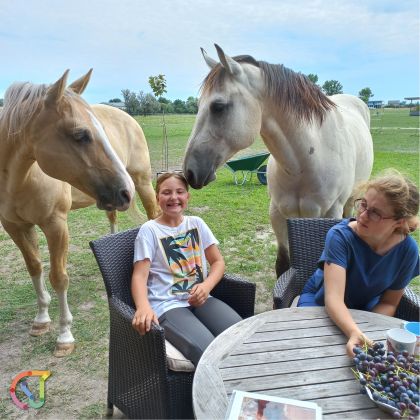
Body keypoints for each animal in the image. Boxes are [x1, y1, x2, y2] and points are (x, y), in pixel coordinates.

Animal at [0, 70, 154, 356]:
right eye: (80, 134)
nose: (125, 190)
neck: (19, 178)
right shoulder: (15, 226)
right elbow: (34, 267)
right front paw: (41, 319)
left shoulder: (55, 224)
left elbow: (59, 277)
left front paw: (64, 335)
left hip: (143, 182)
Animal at [184, 45, 374, 276]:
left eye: (218, 106)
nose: (190, 171)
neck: (305, 162)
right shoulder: (277, 213)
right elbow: (283, 264)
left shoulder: (330, 214)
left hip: (348, 202)